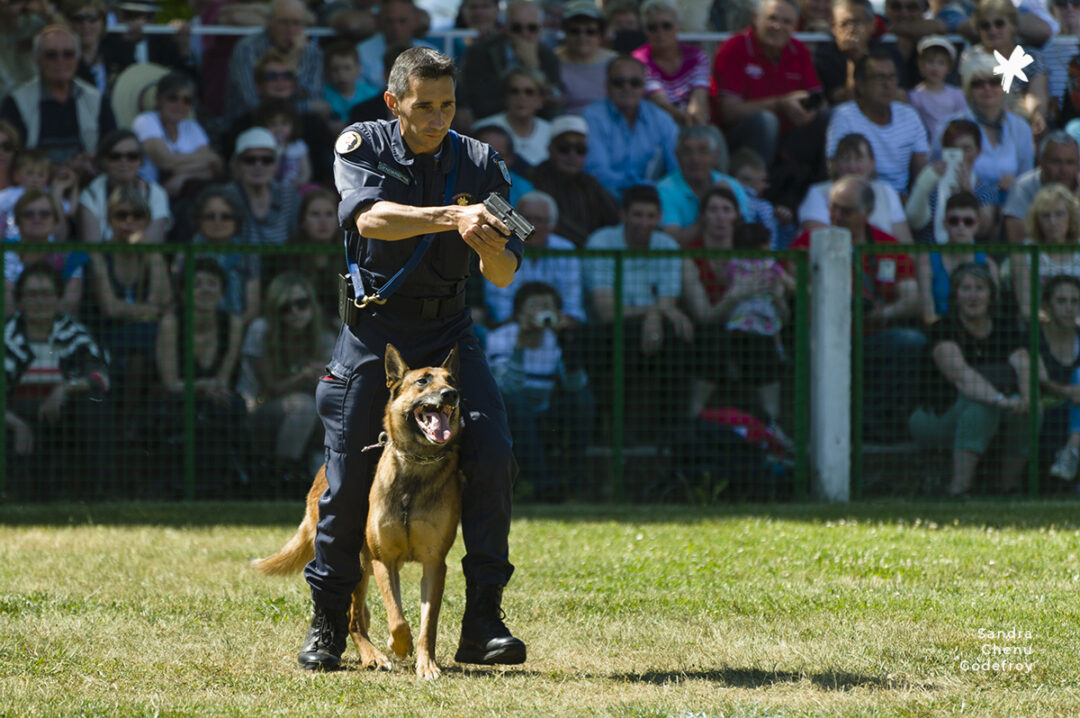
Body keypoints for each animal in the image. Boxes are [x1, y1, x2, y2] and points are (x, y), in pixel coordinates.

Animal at [257, 341, 468, 678]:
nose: (451, 395)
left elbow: (427, 624)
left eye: (452, 380)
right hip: (357, 563)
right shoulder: (383, 560)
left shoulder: (434, 564)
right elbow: (397, 618)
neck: (417, 464)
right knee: (354, 617)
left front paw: (426, 664)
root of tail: (320, 472)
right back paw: (371, 655)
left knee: (361, 615)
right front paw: (399, 646)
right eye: (423, 381)